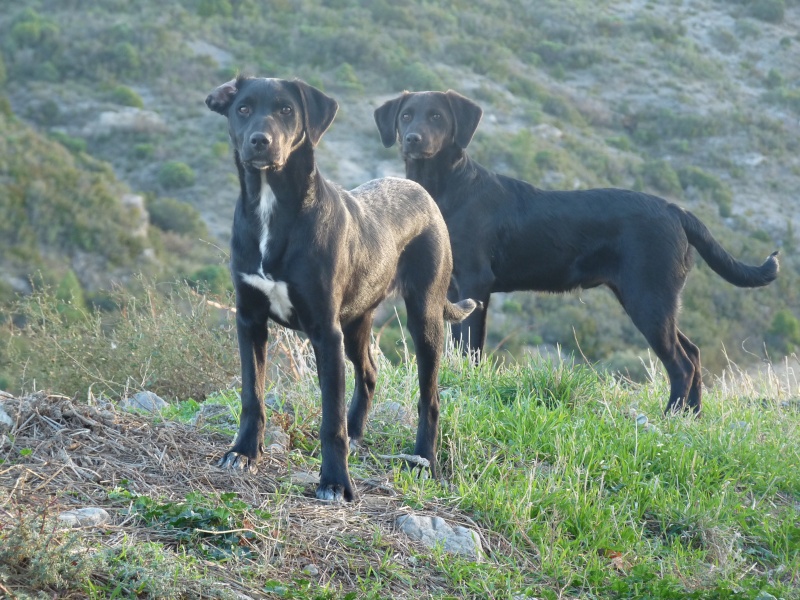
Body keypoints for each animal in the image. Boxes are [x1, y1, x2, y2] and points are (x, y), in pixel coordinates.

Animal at [206, 78, 476, 502]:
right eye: (243, 109)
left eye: (286, 110)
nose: (260, 141)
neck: (271, 208)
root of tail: (418, 188)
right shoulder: (249, 320)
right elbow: (252, 395)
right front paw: (243, 452)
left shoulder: (324, 331)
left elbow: (329, 417)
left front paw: (335, 481)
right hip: (356, 320)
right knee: (368, 373)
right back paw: (358, 433)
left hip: (424, 315)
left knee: (429, 397)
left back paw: (423, 460)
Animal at [376, 91, 780, 414]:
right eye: (406, 115)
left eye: (437, 117)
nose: (412, 139)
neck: (447, 188)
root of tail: (674, 210)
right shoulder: (455, 289)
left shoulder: (475, 283)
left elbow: (470, 348)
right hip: (655, 300)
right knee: (693, 353)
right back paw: (690, 416)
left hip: (648, 298)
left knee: (682, 363)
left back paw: (672, 416)